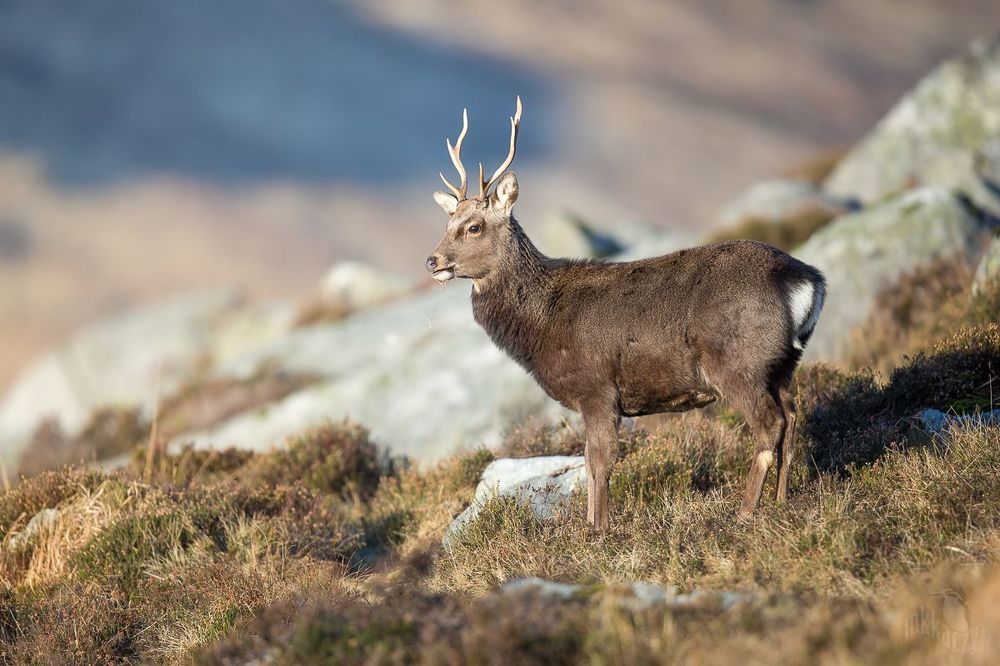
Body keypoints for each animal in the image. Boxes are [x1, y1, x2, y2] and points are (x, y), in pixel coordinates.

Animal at [425, 97, 826, 531]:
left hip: (738, 363)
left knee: (770, 425)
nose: (432, 261)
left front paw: (599, 530)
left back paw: (745, 511)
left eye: (474, 226)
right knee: (791, 418)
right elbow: (587, 463)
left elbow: (600, 463)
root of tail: (806, 280)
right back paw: (782, 501)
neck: (542, 325)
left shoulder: (596, 386)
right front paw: (588, 526)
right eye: (447, 222)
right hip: (782, 363)